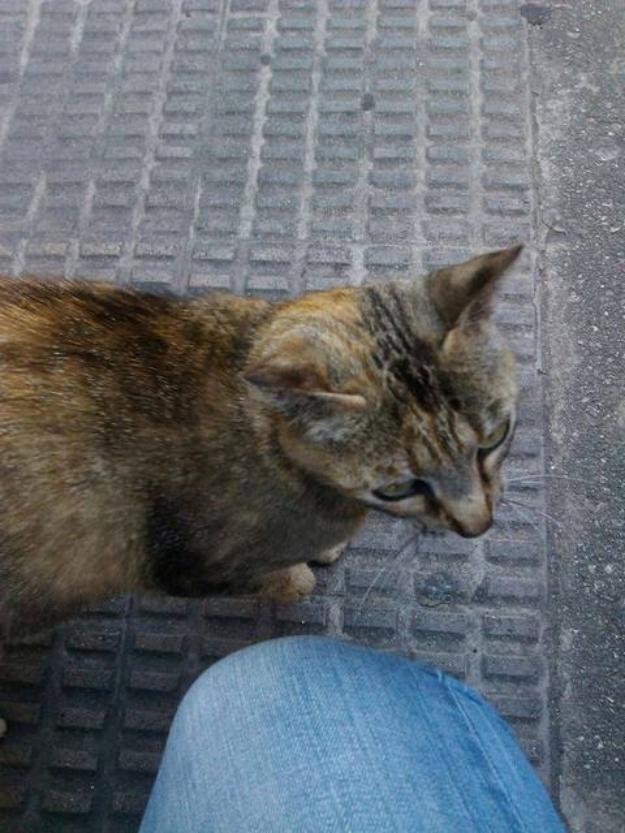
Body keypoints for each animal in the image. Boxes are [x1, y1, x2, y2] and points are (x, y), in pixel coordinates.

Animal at [0, 247, 520, 736]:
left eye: (495, 438)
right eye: (399, 486)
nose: (477, 524)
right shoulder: (185, 566)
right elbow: (285, 579)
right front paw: (296, 575)